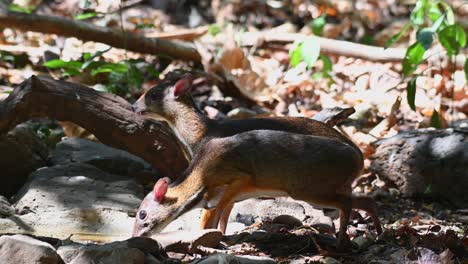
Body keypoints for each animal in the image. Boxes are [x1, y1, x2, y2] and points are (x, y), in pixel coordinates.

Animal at [131, 74, 380, 248]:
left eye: (152, 94)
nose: (133, 106)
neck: (199, 134)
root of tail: (359, 158)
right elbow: (225, 212)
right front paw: (223, 235)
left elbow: (211, 216)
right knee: (360, 200)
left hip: (307, 186)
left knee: (346, 203)